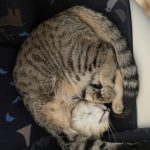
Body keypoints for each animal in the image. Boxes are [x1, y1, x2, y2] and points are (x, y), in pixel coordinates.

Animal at [13, 5, 139, 150]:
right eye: (105, 125)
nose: (107, 109)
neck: (71, 114)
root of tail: (64, 12)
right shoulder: (71, 140)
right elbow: (103, 145)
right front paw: (104, 96)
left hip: (78, 60)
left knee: (107, 48)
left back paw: (107, 82)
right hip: (84, 69)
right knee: (117, 68)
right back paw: (115, 99)